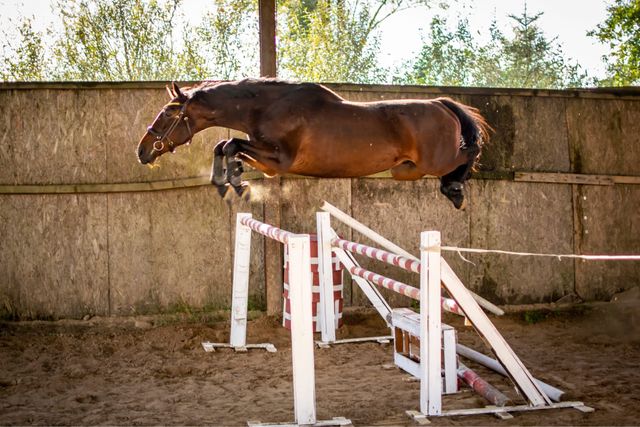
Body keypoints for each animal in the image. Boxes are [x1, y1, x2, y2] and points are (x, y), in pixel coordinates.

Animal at [136, 79, 490, 211]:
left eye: (167, 114)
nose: (142, 150)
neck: (266, 107)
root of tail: (441, 104)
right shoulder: (267, 163)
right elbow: (225, 145)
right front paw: (229, 182)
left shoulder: (278, 160)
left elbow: (231, 145)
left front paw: (235, 184)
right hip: (408, 170)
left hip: (435, 161)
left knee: (469, 153)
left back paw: (455, 191)